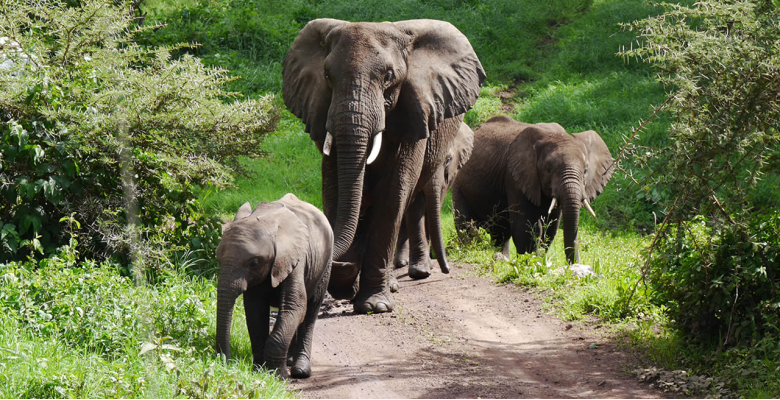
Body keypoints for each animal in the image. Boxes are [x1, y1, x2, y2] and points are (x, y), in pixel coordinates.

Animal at [215, 193, 334, 378]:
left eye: (254, 263)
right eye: (218, 260)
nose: (224, 364)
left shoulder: (296, 259)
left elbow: (295, 306)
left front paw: (276, 375)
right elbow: (255, 310)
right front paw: (259, 369)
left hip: (325, 264)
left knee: (311, 310)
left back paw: (300, 370)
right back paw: (289, 361)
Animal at [284, 18, 484, 314]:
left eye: (389, 76)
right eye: (328, 76)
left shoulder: (415, 111)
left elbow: (393, 193)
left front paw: (374, 305)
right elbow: (334, 189)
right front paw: (346, 285)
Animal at [450, 115, 616, 264]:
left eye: (586, 170)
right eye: (548, 169)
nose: (574, 265)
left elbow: (551, 227)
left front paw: (539, 259)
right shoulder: (515, 177)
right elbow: (525, 226)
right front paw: (530, 262)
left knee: (500, 230)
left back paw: (501, 258)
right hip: (458, 181)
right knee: (466, 224)